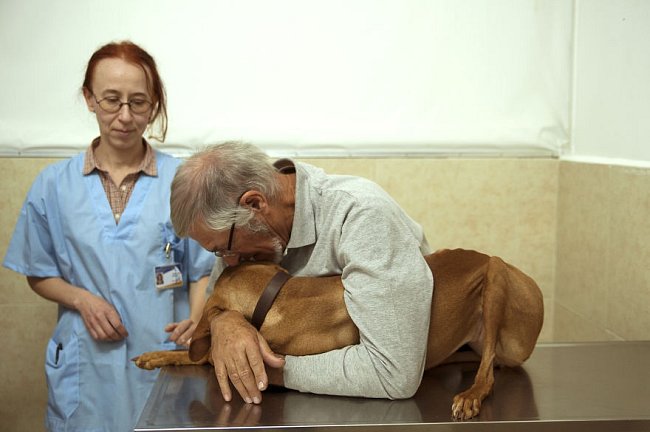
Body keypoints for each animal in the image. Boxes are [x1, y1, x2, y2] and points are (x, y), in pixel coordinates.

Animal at [135, 248, 540, 420]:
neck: (281, 296)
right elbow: (195, 353)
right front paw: (156, 354)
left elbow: (207, 353)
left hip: (497, 276)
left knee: (488, 373)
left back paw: (471, 395)